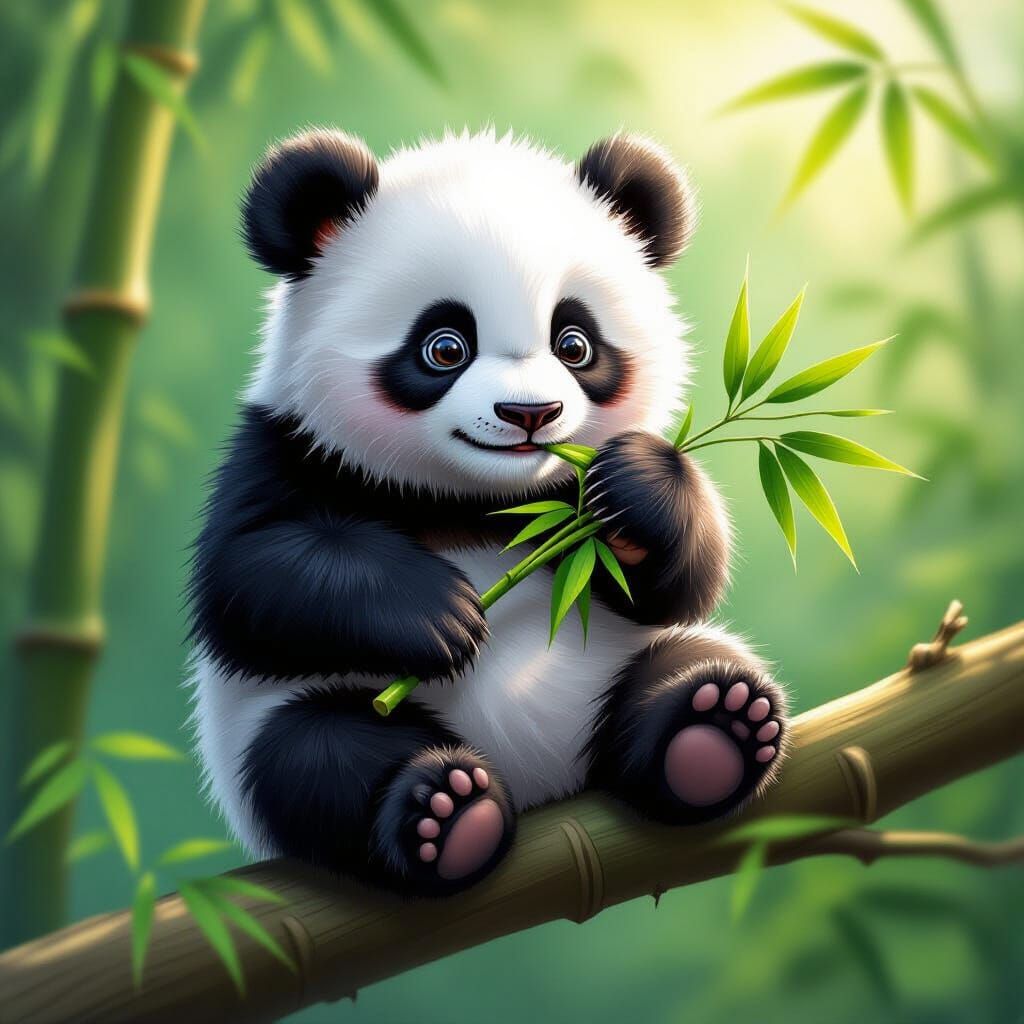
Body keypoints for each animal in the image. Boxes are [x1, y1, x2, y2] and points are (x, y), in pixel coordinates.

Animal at [188, 127, 788, 895]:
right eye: (445, 347)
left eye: (575, 343)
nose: (529, 413)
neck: (480, 495)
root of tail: (541, 783)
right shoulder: (285, 448)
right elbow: (251, 575)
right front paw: (439, 615)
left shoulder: (571, 503)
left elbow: (679, 585)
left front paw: (638, 490)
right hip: (285, 722)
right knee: (315, 755)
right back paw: (445, 813)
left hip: (617, 666)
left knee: (687, 658)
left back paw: (715, 732)